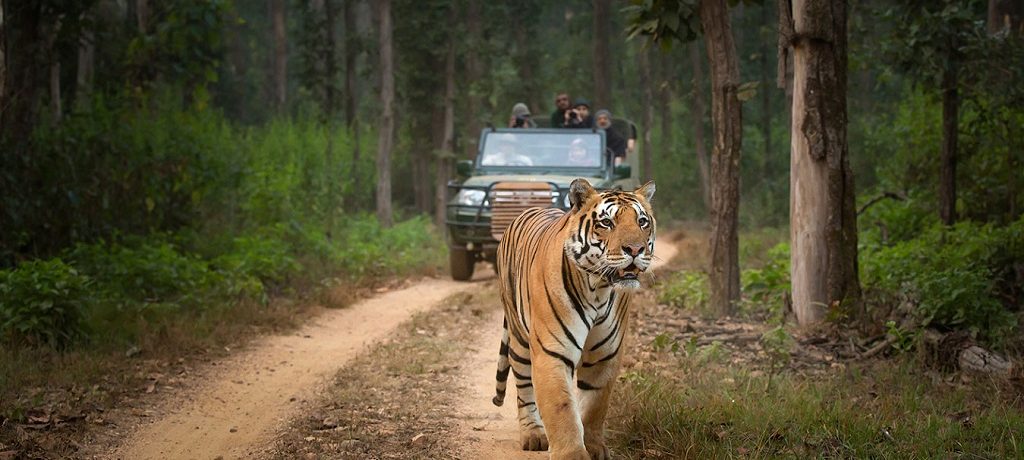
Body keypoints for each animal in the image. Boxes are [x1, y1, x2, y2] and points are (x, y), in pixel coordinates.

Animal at [489, 177, 651, 456]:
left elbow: (594, 406)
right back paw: (533, 434)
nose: (635, 249)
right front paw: (573, 454)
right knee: (524, 387)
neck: (599, 288)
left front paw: (594, 448)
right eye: (606, 223)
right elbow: (561, 408)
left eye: (642, 222)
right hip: (519, 338)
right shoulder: (552, 352)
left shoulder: (604, 355)